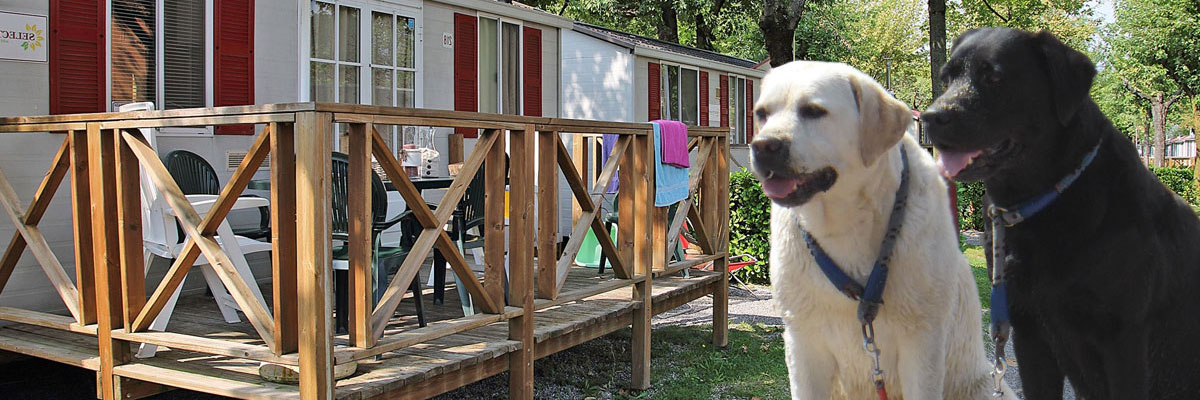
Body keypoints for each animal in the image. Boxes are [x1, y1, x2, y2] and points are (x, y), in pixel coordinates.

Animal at [748, 60, 1012, 396]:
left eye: (813, 110)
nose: (763, 146)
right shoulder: (802, 342)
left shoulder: (922, 344)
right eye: (762, 113)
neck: (845, 223)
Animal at [921, 26, 1195, 396]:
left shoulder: (1124, 339)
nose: (930, 117)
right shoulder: (1029, 331)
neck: (1042, 202)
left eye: (993, 76)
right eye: (947, 78)